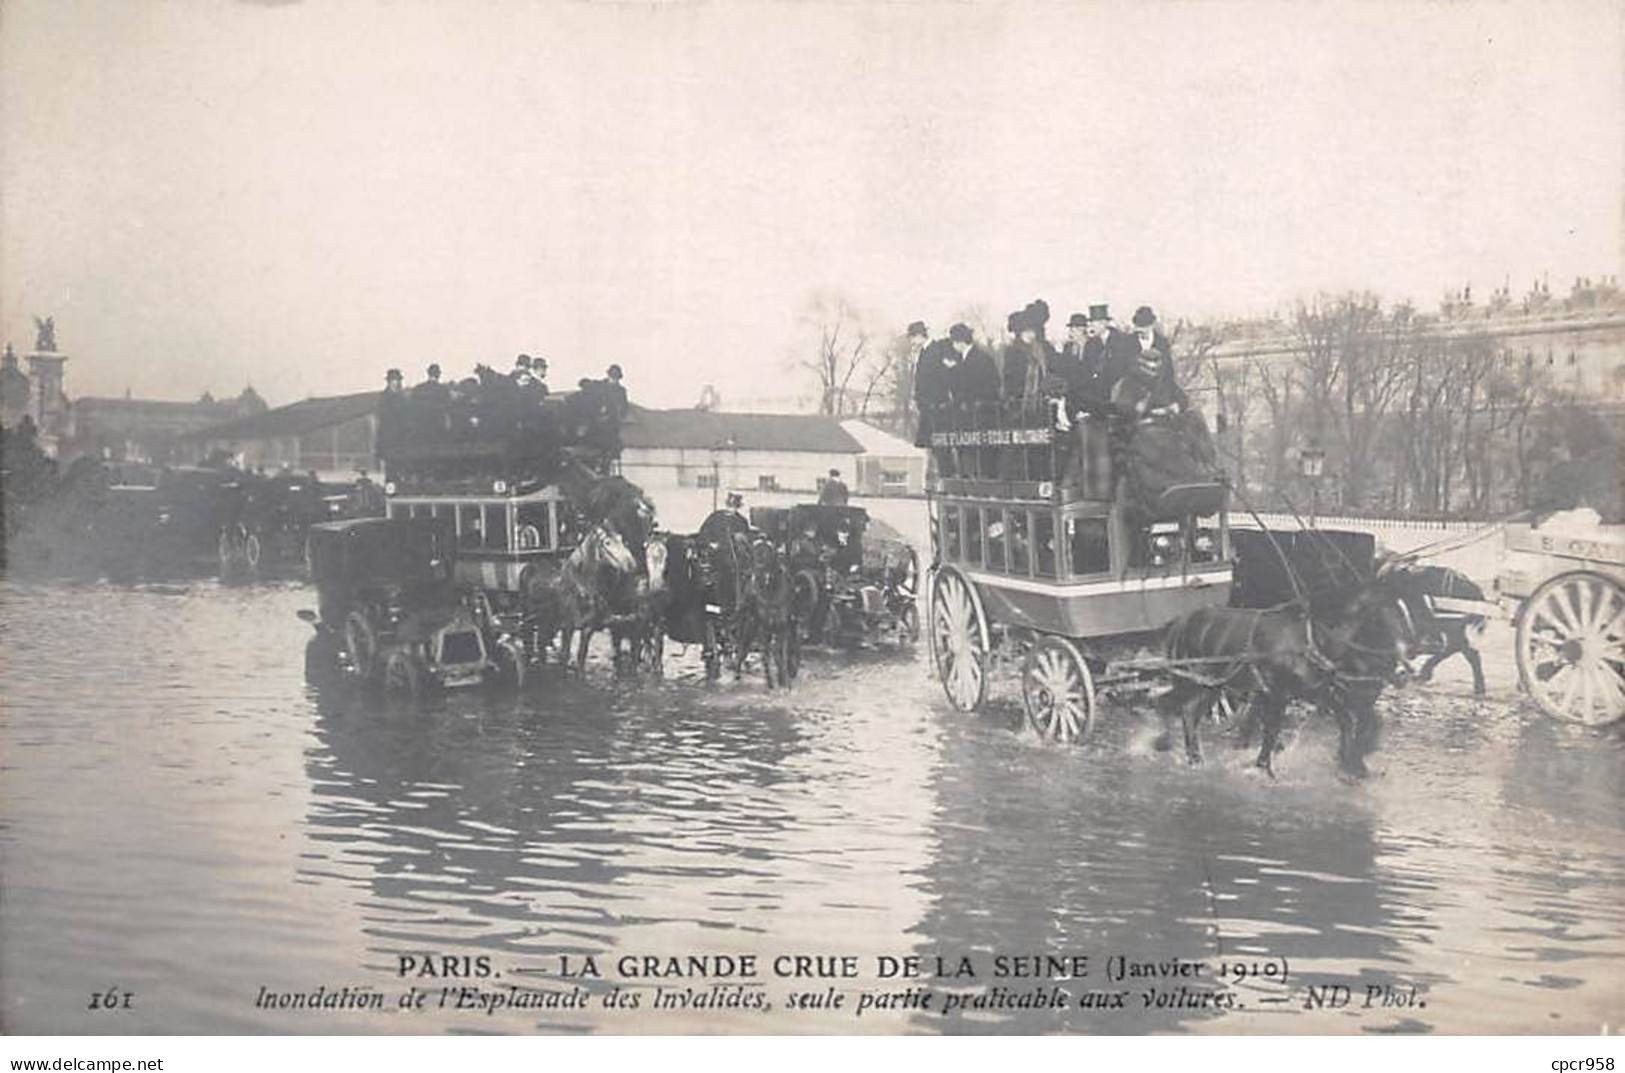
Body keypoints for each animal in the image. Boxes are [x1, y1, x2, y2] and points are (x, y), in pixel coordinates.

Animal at [1163, 578, 1417, 780]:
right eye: (1385, 616)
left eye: (1407, 612)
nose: (1407, 662)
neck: (1309, 639)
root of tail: (1182, 621)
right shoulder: (1277, 693)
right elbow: (1272, 729)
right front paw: (1263, 768)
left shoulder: (1315, 690)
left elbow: (1346, 720)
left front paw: (1352, 766)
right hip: (1193, 681)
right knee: (1183, 710)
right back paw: (1188, 755)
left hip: (1213, 684)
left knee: (1189, 712)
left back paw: (1195, 757)